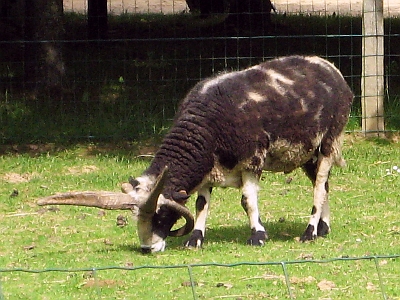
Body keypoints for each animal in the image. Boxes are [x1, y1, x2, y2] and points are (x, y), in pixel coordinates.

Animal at [38, 54, 354, 253]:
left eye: (161, 215)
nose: (147, 249)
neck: (206, 125)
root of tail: (332, 70)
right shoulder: (206, 167)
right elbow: (202, 204)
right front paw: (195, 240)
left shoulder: (252, 160)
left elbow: (247, 201)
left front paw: (257, 236)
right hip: (308, 153)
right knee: (324, 184)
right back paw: (324, 228)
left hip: (329, 141)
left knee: (319, 185)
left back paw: (310, 232)